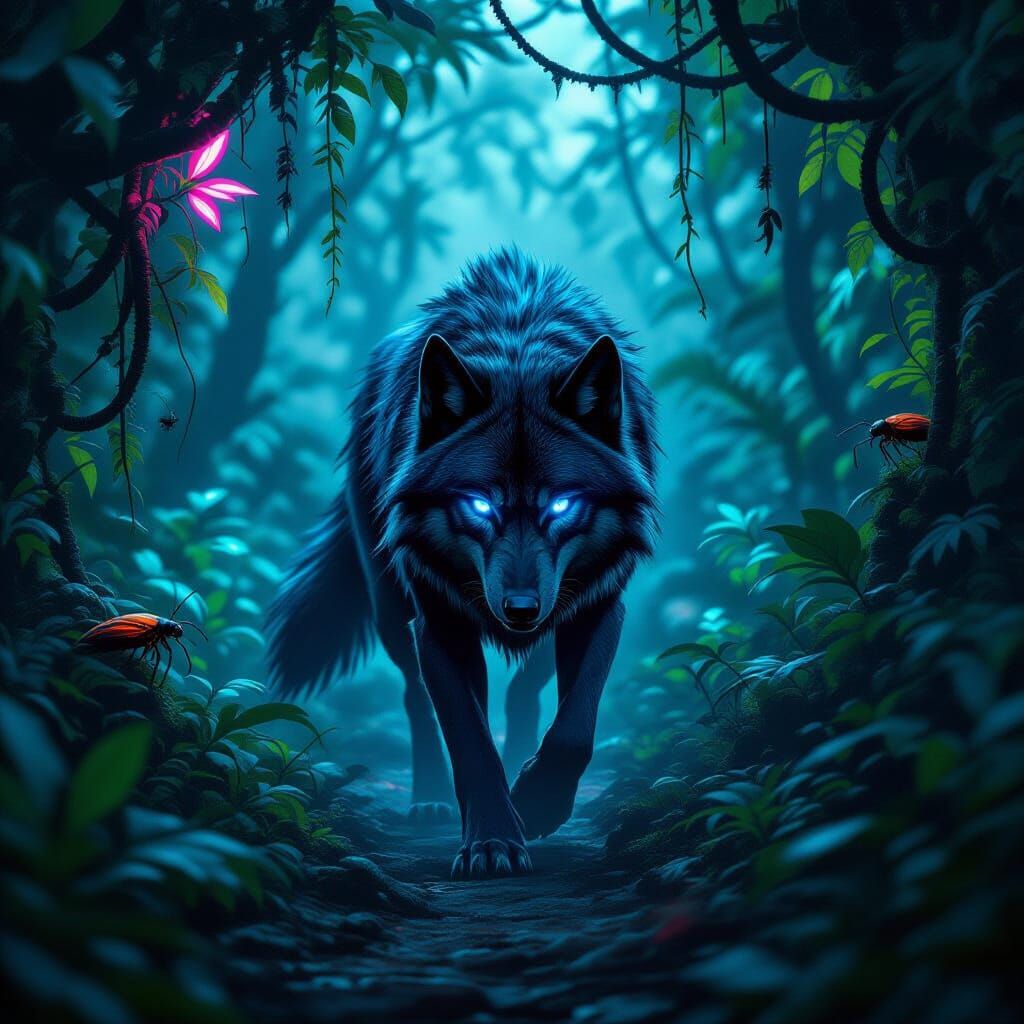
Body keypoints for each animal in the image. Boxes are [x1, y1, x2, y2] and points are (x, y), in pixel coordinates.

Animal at [266, 248, 658, 878]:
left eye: (561, 504)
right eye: (478, 504)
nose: (519, 609)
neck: (518, 342)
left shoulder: (597, 603)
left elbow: (575, 726)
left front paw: (539, 803)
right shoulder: (440, 622)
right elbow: (470, 741)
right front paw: (494, 841)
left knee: (525, 691)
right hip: (391, 609)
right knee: (415, 698)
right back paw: (429, 800)